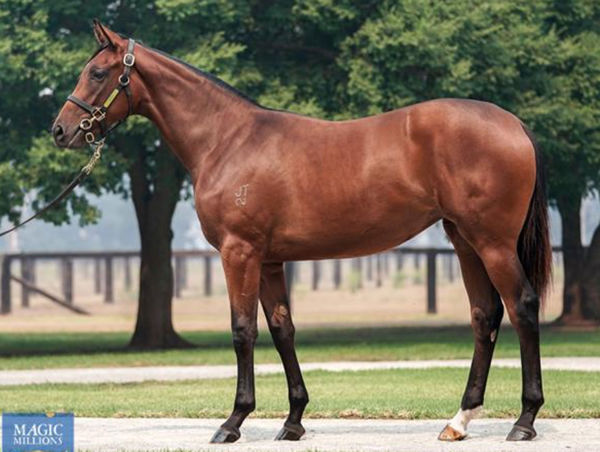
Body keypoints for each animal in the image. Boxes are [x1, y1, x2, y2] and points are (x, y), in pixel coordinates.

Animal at [54, 23, 552, 444]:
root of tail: (513, 123)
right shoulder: (269, 260)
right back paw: (459, 421)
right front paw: (293, 421)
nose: (60, 130)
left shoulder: (239, 253)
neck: (227, 140)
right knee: (485, 315)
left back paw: (525, 420)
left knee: (522, 307)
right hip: (465, 240)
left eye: (97, 72)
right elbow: (282, 330)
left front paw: (233, 421)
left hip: (492, 243)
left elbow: (242, 331)